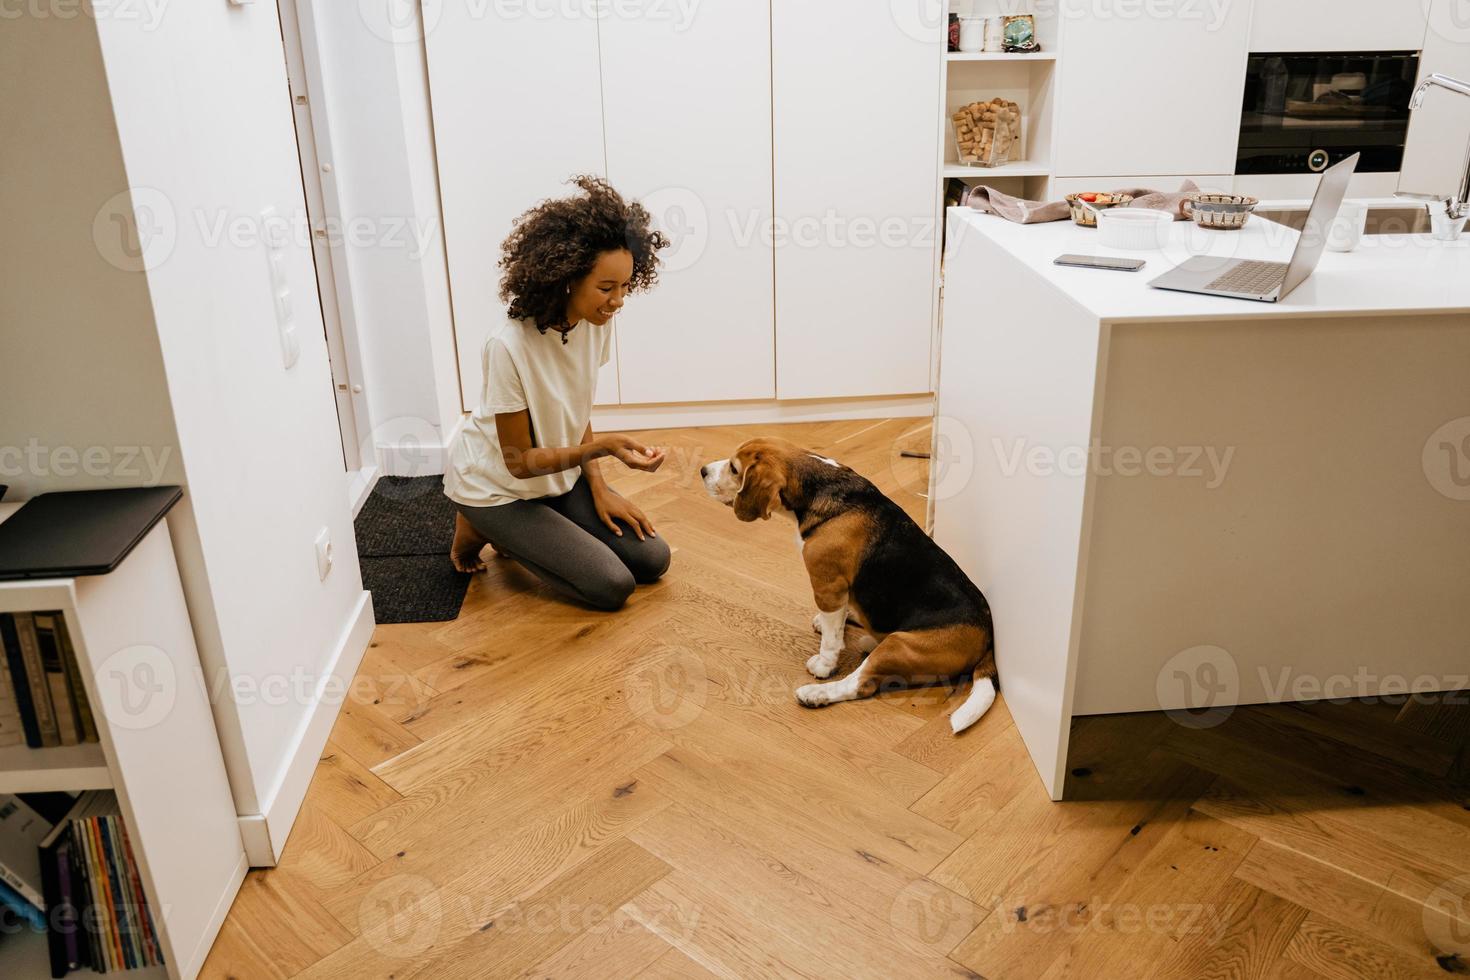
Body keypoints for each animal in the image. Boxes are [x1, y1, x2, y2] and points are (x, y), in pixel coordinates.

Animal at [699, 437, 999, 734]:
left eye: (734, 469)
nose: (702, 471)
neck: (820, 486)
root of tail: (987, 639)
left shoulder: (827, 586)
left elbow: (831, 641)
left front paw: (823, 665)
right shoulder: (839, 589)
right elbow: (837, 622)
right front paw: (834, 624)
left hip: (899, 644)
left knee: (861, 685)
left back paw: (817, 693)